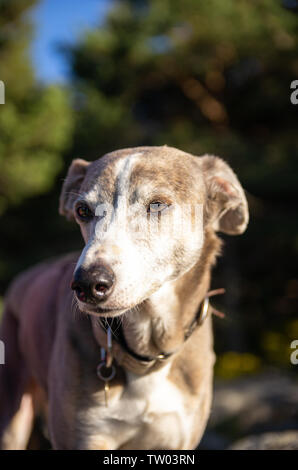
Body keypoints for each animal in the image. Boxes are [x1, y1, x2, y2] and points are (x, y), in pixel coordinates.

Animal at [0, 145, 248, 450]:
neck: (148, 353)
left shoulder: (178, 439)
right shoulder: (85, 437)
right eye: (82, 210)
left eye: (157, 205)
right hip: (12, 414)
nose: (88, 284)